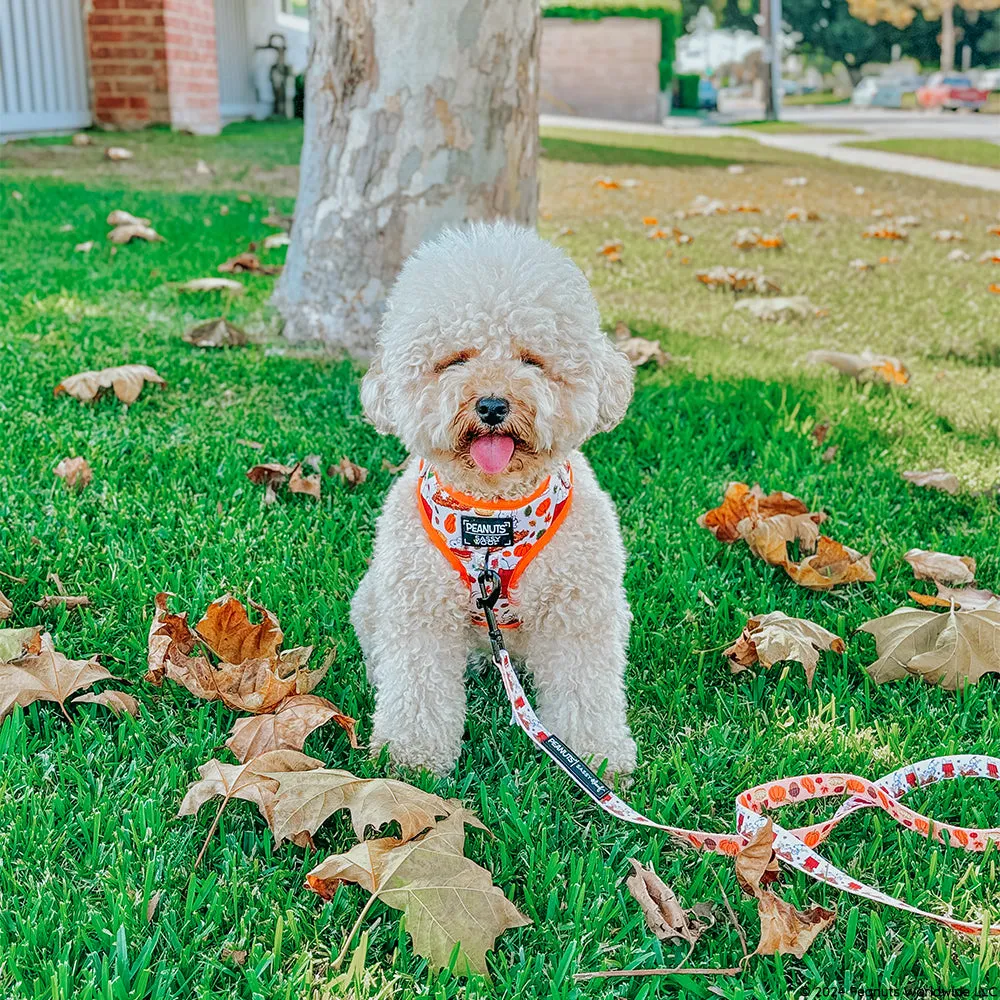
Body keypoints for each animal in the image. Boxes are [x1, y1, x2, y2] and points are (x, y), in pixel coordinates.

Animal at [352, 223, 636, 776]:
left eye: (532, 360)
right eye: (455, 360)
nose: (491, 404)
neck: (491, 513)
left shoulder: (579, 608)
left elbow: (585, 687)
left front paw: (595, 756)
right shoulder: (419, 609)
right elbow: (418, 689)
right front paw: (411, 759)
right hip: (373, 598)